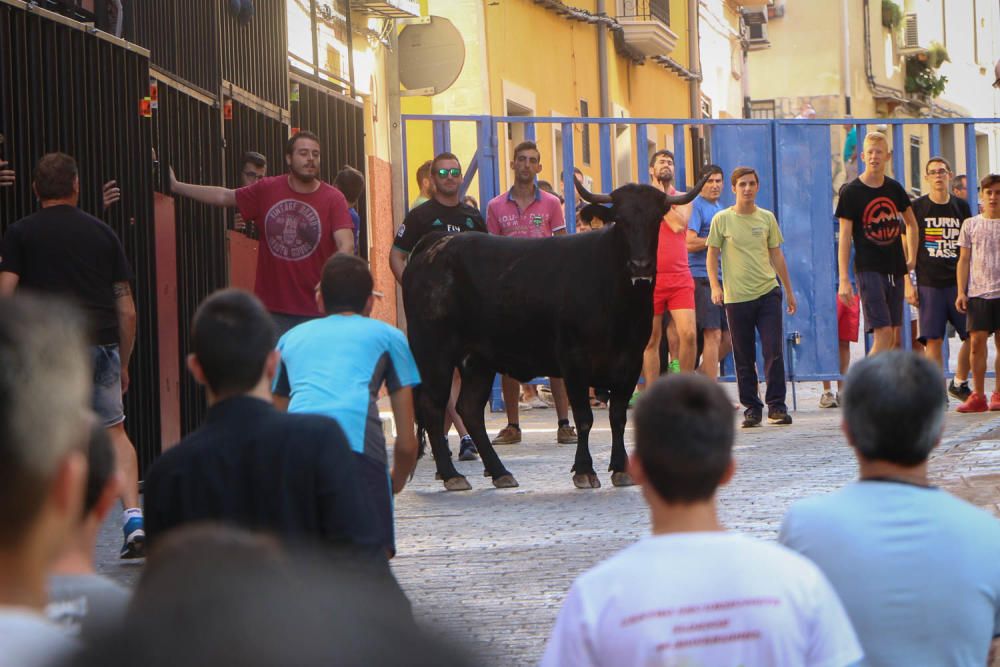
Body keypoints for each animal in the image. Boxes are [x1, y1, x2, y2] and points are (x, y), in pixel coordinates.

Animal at [402, 176, 708, 490]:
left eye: (656, 219)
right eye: (620, 220)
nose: (641, 265)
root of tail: (436, 243)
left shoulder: (631, 360)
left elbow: (618, 416)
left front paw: (621, 468)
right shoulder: (574, 361)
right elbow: (584, 417)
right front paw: (584, 469)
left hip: (477, 359)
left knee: (470, 409)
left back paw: (499, 471)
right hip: (434, 352)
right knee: (433, 407)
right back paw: (452, 474)